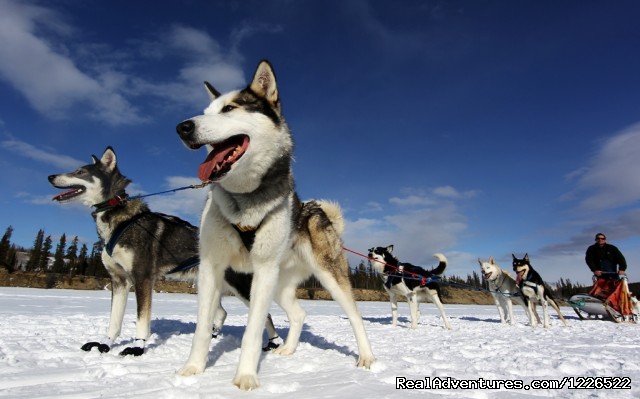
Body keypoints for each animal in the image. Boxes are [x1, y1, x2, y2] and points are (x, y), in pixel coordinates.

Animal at [48, 146, 278, 356]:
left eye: (80, 171)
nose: (50, 176)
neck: (118, 219)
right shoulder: (119, 281)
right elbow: (114, 320)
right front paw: (105, 343)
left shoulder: (142, 278)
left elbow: (142, 320)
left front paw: (138, 347)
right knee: (221, 313)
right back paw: (212, 334)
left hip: (241, 287)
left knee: (265, 315)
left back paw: (273, 342)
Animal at [175, 60, 376, 390]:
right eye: (206, 110)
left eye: (229, 108)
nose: (182, 127)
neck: (245, 201)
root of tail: (314, 209)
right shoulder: (211, 266)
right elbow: (203, 327)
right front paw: (192, 369)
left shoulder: (263, 269)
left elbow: (253, 331)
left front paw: (245, 377)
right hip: (280, 285)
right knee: (299, 313)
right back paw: (288, 349)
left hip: (326, 275)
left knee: (355, 314)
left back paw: (367, 357)